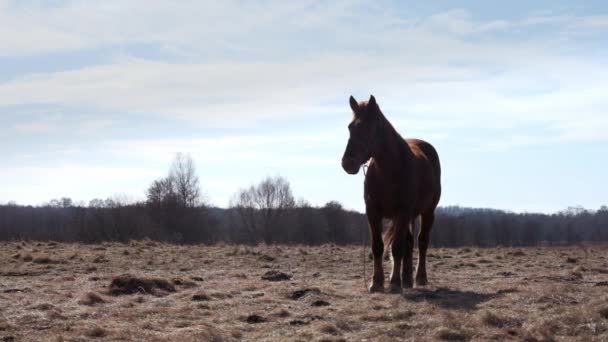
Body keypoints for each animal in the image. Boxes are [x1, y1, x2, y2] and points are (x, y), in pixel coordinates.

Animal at [340, 95, 440, 292]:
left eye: (368, 127)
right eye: (350, 127)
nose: (348, 163)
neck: (388, 170)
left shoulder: (402, 212)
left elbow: (397, 247)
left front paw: (394, 283)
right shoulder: (373, 212)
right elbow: (378, 246)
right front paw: (377, 282)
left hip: (427, 212)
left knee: (421, 242)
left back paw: (419, 278)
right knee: (409, 242)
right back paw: (407, 279)